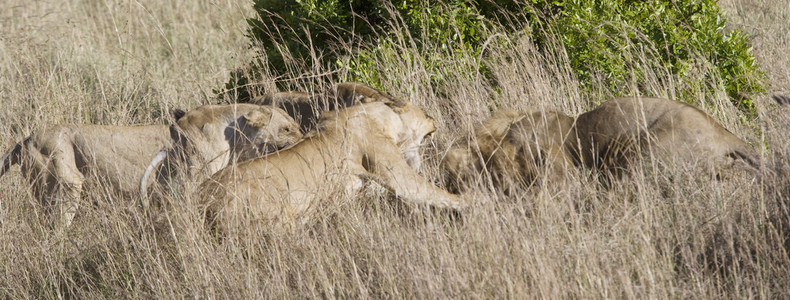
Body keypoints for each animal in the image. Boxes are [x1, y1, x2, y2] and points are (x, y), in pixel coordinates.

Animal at [200, 99, 470, 233]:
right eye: (423, 113)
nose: (434, 119)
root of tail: (202, 199)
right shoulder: (395, 174)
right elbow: (430, 192)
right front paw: (472, 201)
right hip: (276, 219)